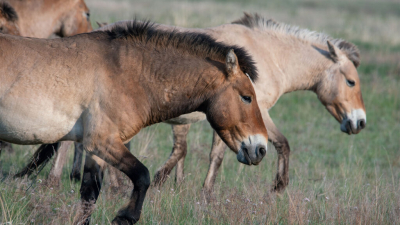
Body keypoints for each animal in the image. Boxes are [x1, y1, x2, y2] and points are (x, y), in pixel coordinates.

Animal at [0, 20, 268, 223]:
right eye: (246, 97)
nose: (260, 149)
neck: (126, 73)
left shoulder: (96, 150)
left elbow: (89, 195)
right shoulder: (103, 142)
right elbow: (143, 176)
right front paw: (125, 216)